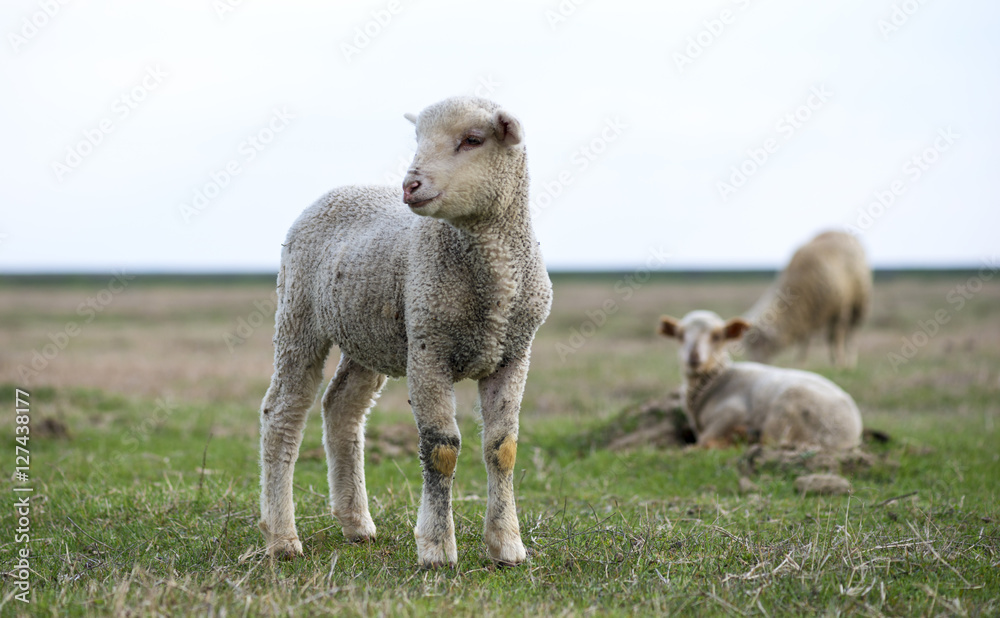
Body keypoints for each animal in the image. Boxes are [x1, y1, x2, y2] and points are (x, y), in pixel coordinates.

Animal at [257, 97, 552, 569]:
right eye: (417, 138)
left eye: (473, 139)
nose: (411, 185)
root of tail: (339, 190)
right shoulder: (429, 348)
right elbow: (442, 449)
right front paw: (437, 549)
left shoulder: (513, 353)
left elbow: (502, 447)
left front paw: (507, 545)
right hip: (298, 314)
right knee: (283, 412)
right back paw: (282, 538)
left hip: (367, 335)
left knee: (341, 407)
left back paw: (356, 524)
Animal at [658, 310, 863, 450]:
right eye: (680, 335)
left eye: (717, 336)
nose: (693, 357)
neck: (717, 380)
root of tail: (854, 431)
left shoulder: (734, 412)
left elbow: (703, 441)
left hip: (785, 411)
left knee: (768, 442)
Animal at [741, 231, 872, 367]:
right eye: (748, 346)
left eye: (760, 342)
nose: (753, 363)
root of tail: (840, 232)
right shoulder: (806, 314)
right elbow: (805, 341)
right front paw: (800, 364)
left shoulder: (839, 309)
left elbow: (836, 336)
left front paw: (839, 363)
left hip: (860, 302)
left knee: (852, 332)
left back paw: (850, 361)